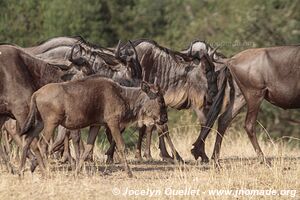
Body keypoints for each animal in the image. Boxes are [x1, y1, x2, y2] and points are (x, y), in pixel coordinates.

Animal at [20, 76, 169, 177]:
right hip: (51, 123)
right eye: (160, 100)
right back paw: (45, 172)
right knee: (41, 144)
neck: (123, 96)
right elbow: (121, 146)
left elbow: (87, 148)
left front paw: (76, 172)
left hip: (39, 123)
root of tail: (36, 94)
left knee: (28, 140)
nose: (164, 118)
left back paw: (22, 171)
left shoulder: (96, 125)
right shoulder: (113, 122)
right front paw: (129, 173)